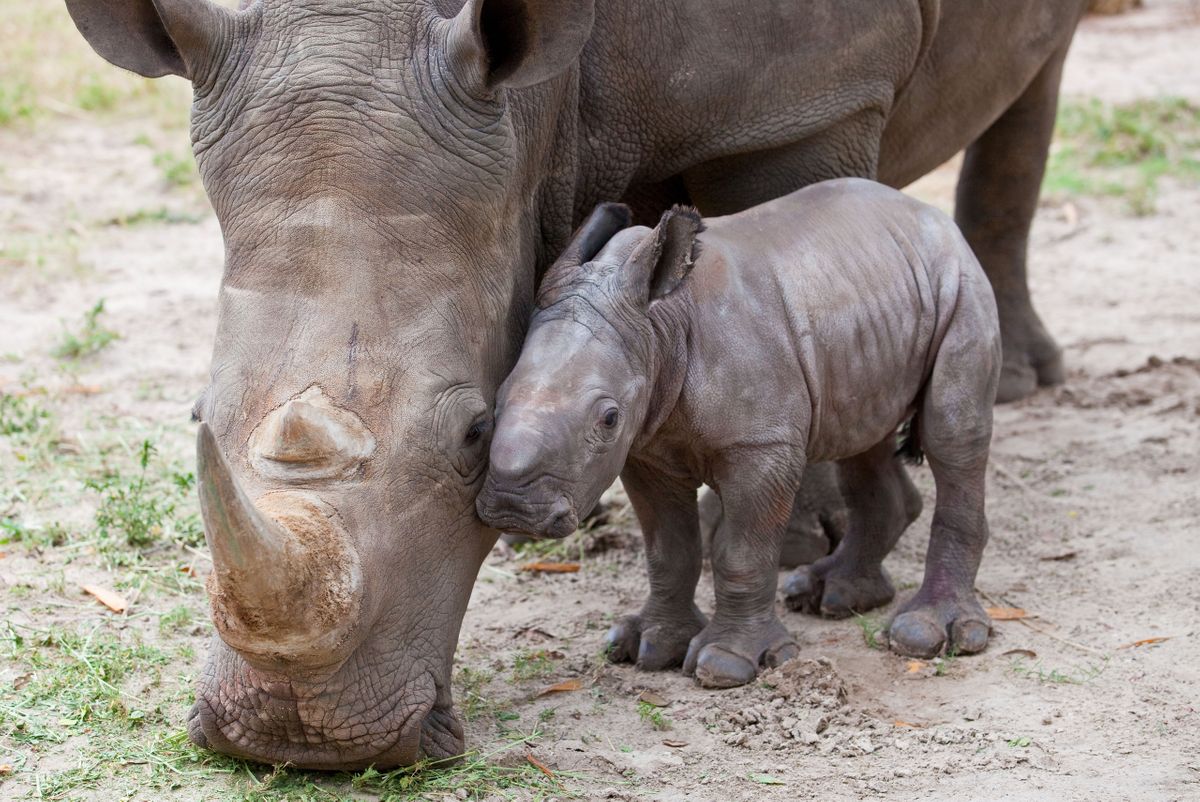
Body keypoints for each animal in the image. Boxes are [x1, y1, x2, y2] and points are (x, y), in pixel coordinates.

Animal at [66, 0, 1086, 769]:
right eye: (197, 415)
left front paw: (786, 549)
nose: (298, 742)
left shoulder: (808, 101)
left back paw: (1010, 396)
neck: (532, 106)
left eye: (471, 434)